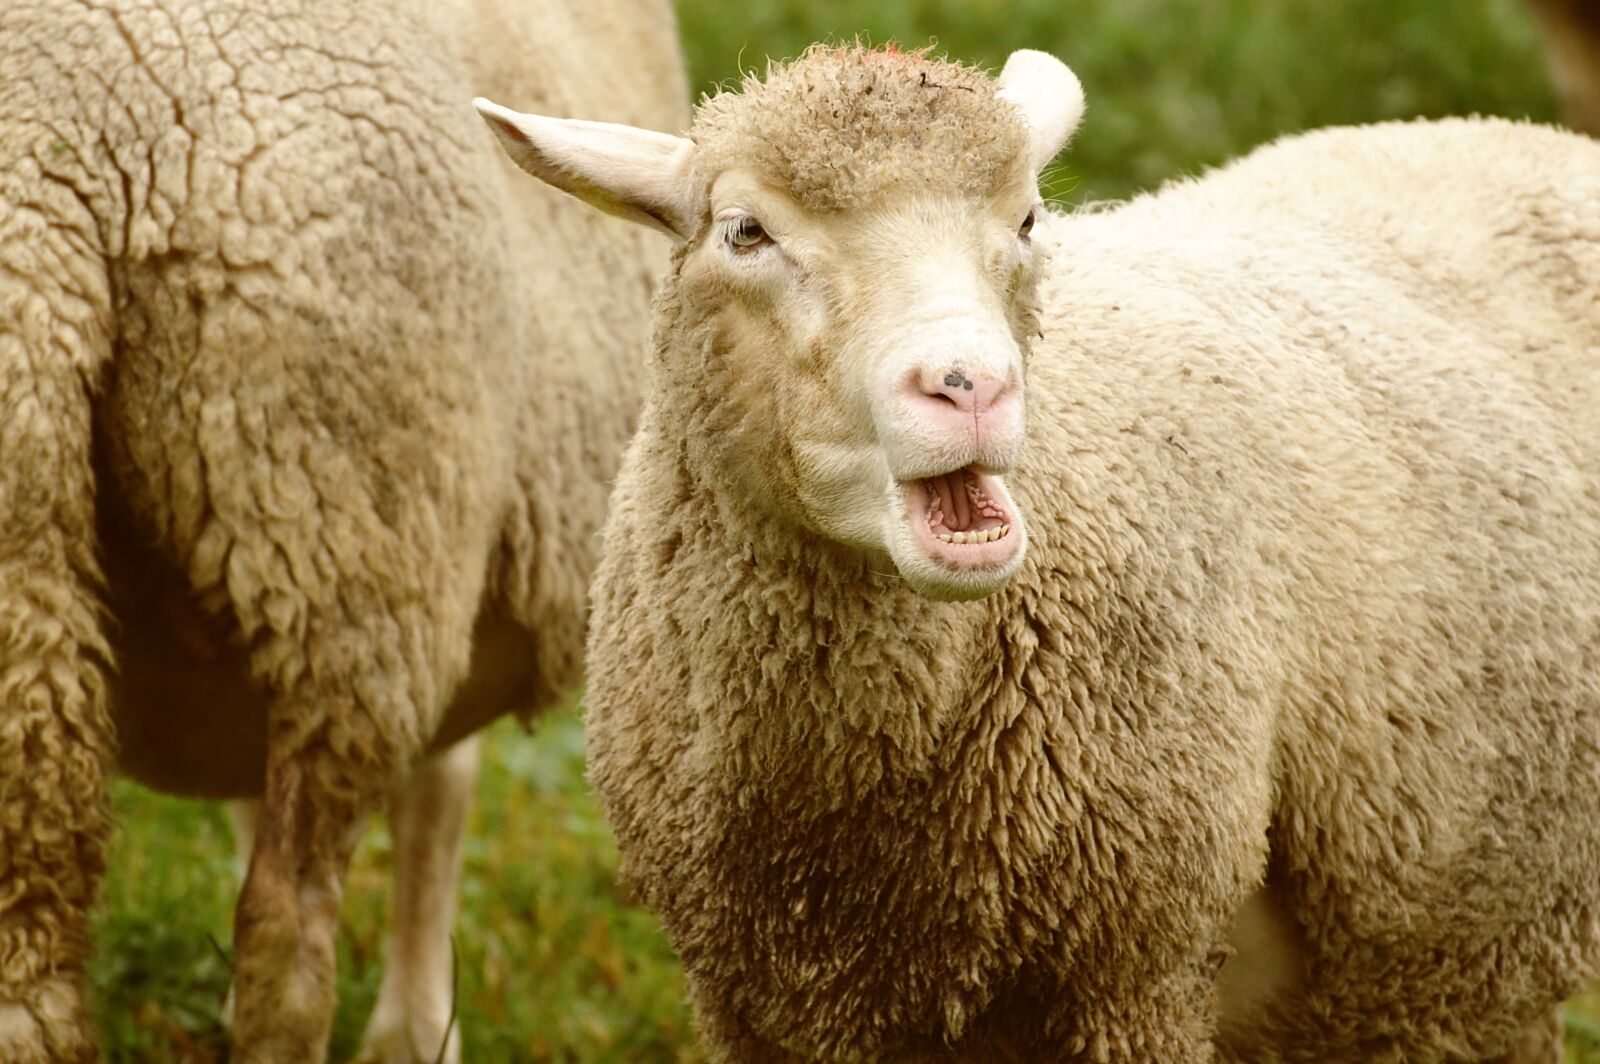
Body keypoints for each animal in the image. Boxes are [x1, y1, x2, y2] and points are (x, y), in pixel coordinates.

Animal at [0, 0, 685, 1059]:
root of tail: (63, 153)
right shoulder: (443, 552)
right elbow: (441, 799)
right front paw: (420, 1027)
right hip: (346, 536)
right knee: (289, 924)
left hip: (40, 525)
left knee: (30, 954)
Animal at [476, 45, 1600, 1062]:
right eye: (744, 232)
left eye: (1023, 223)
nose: (970, 385)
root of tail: (1501, 130)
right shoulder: (755, 1003)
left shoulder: (1136, 975)